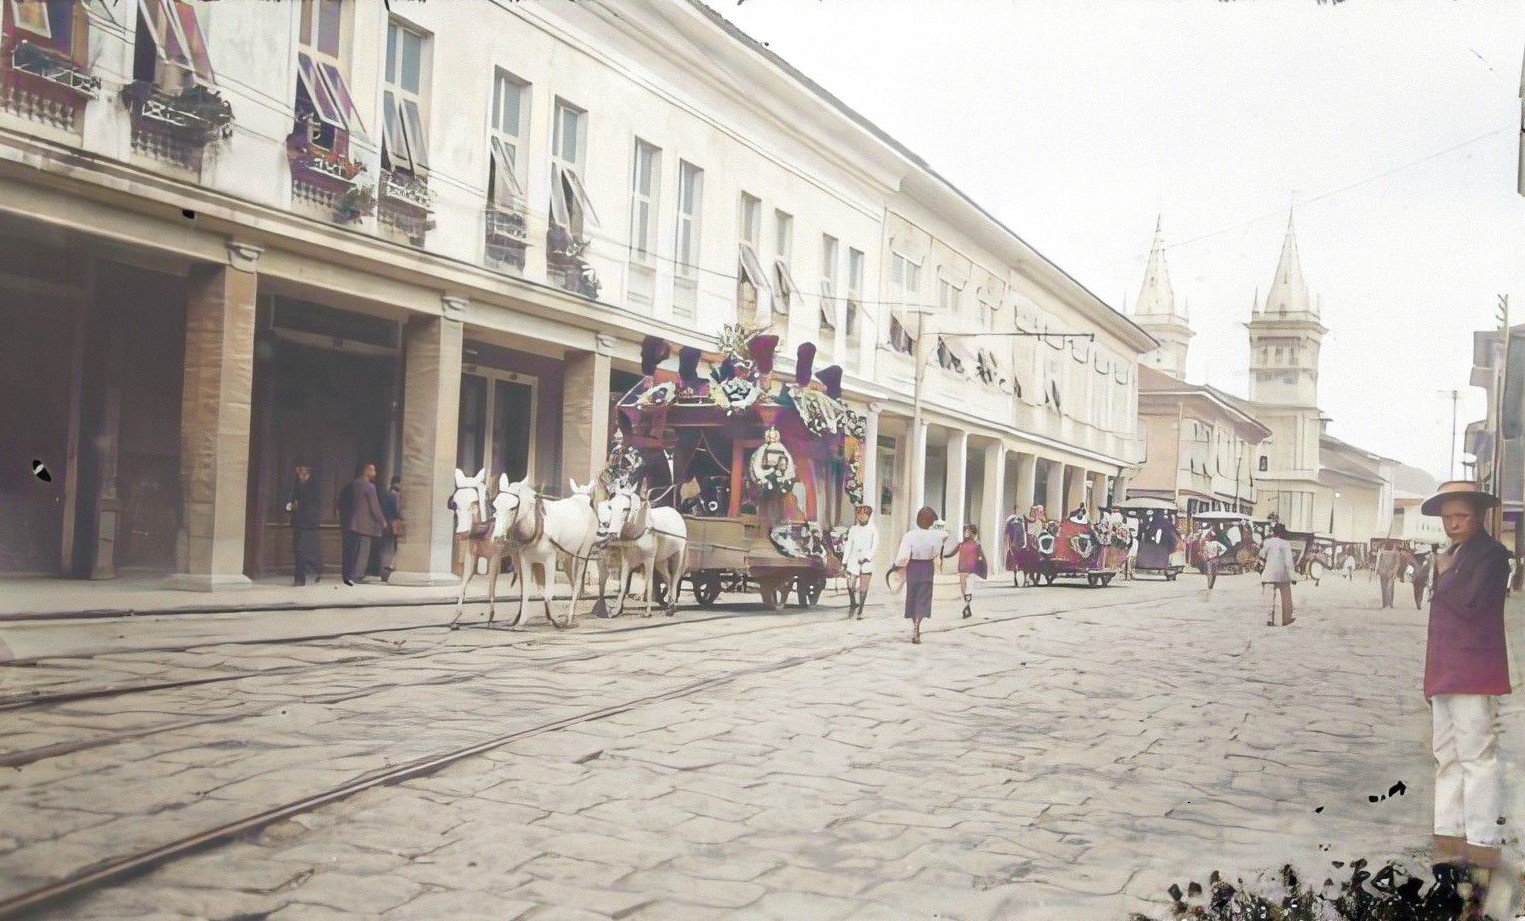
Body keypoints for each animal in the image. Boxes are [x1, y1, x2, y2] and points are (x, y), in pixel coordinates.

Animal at [445, 472, 515, 628]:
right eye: (455, 503)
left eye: (474, 502)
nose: (462, 533)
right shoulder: (471, 555)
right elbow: (463, 583)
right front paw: (456, 617)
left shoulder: (495, 557)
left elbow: (491, 587)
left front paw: (490, 617)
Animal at [494, 478, 600, 628]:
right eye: (495, 506)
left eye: (512, 508)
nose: (497, 537)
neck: (536, 524)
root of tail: (584, 504)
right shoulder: (527, 560)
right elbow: (530, 591)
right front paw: (522, 621)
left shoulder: (549, 560)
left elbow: (549, 593)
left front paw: (554, 621)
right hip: (567, 555)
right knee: (573, 582)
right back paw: (571, 615)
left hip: (584, 551)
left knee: (578, 581)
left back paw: (569, 617)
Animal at [594, 481, 692, 619]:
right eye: (610, 507)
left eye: (626, 508)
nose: (612, 533)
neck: (638, 531)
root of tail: (676, 513)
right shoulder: (627, 560)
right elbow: (623, 585)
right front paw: (616, 611)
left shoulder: (649, 560)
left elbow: (649, 584)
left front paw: (648, 611)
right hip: (660, 561)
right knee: (668, 578)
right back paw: (670, 604)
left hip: (677, 556)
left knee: (675, 579)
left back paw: (671, 608)